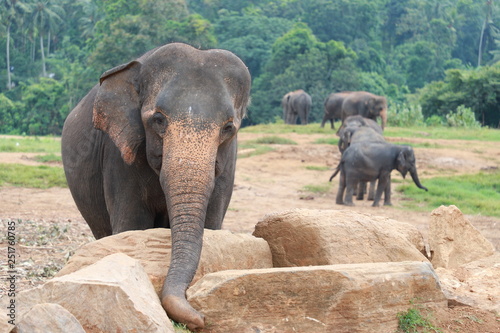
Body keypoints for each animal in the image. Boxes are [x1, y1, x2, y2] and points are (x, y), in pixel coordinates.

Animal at [61, 42, 252, 330]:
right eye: (158, 120)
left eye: (229, 127)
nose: (200, 319)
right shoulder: (119, 158)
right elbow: (132, 225)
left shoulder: (229, 163)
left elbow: (211, 223)